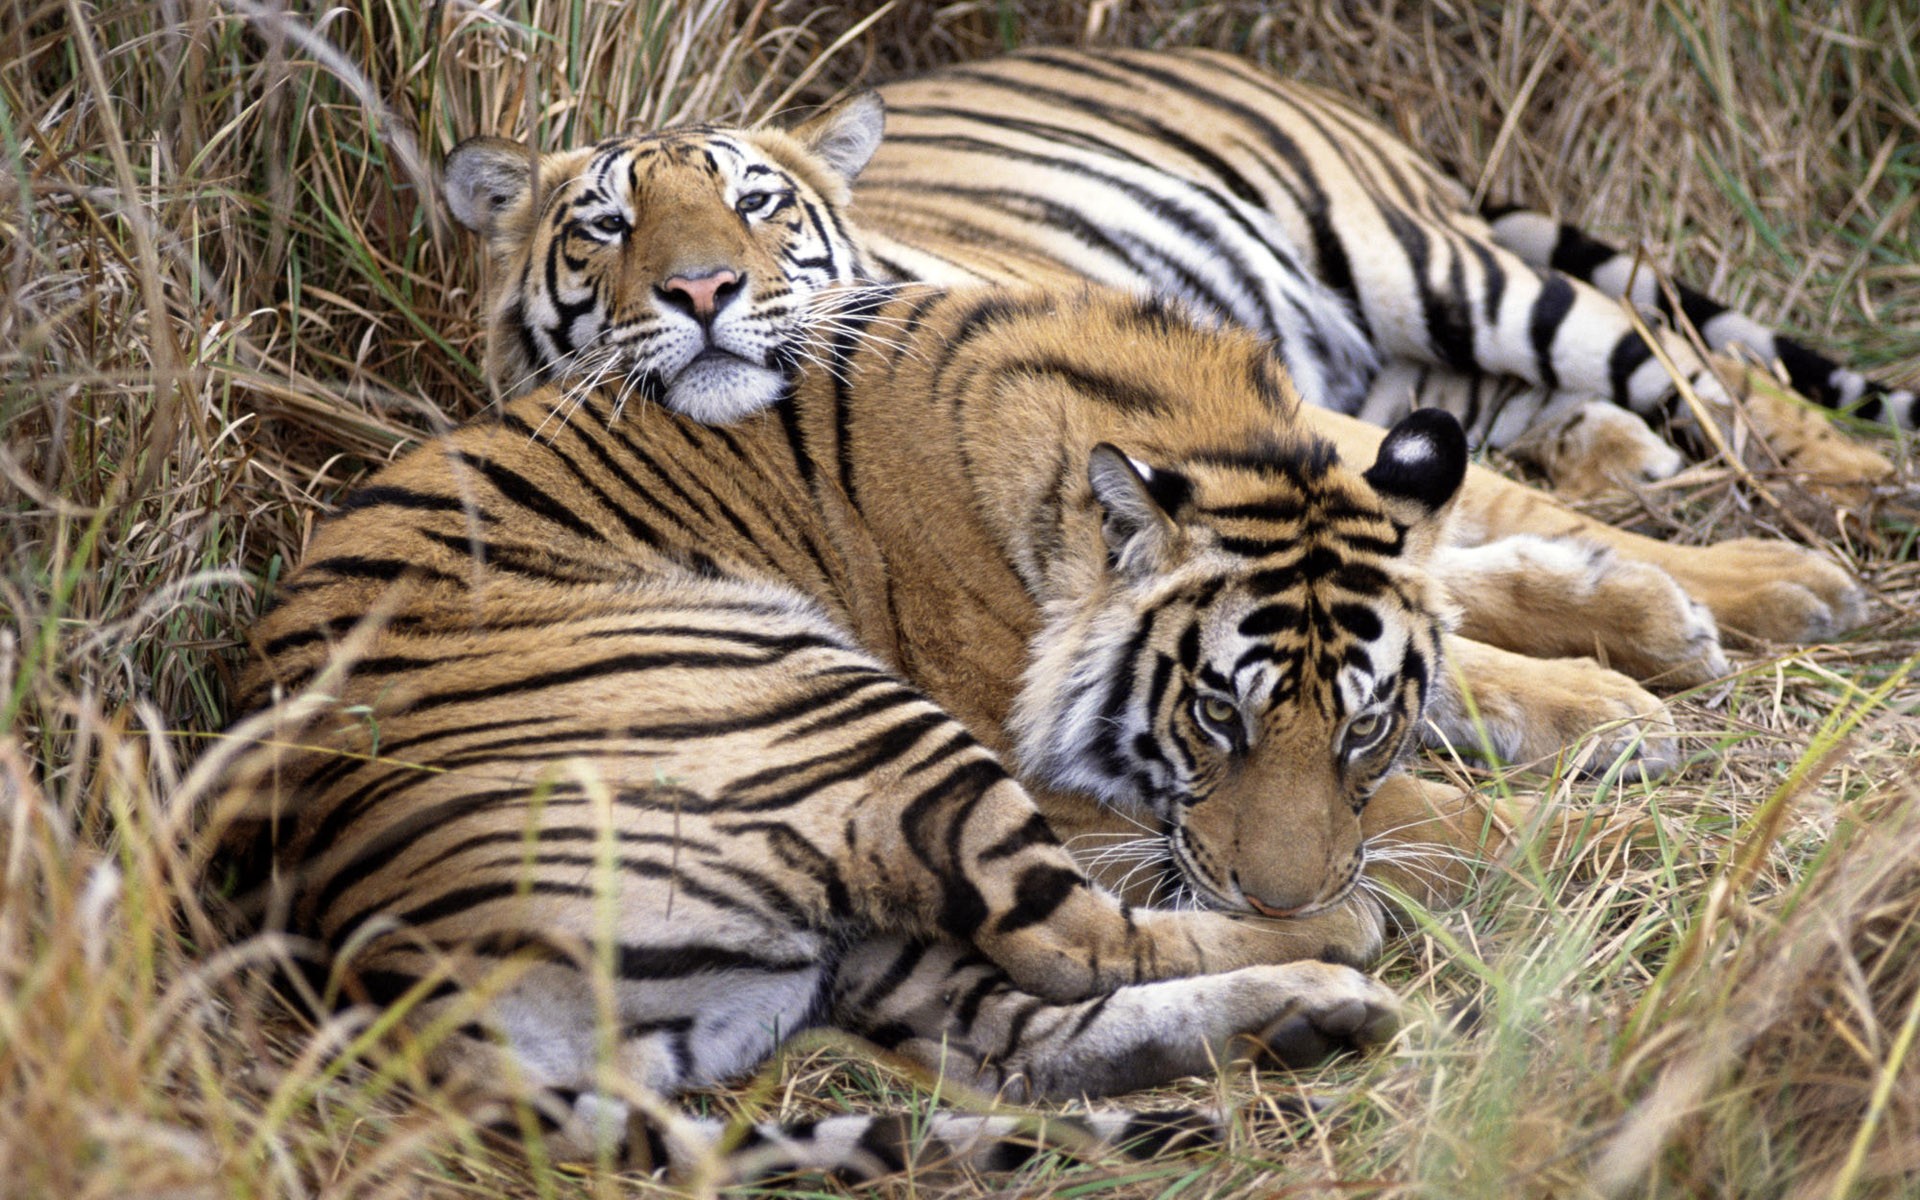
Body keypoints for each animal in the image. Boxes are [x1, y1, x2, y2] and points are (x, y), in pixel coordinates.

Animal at [856, 45, 1904, 495]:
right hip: (1390, 357)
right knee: (1507, 397)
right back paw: (1624, 458)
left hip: (1418, 264)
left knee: (1684, 356)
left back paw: (1850, 475)